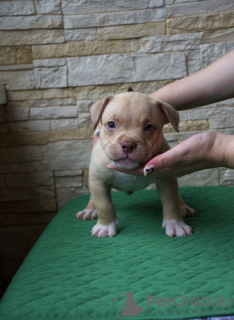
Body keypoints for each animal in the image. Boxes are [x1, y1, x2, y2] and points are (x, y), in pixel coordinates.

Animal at [75, 92, 196, 238]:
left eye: (149, 127)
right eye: (111, 124)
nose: (128, 144)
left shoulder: (166, 179)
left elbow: (171, 202)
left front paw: (175, 224)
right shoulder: (99, 181)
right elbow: (104, 205)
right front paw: (105, 226)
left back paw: (183, 207)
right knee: (94, 197)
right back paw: (89, 210)